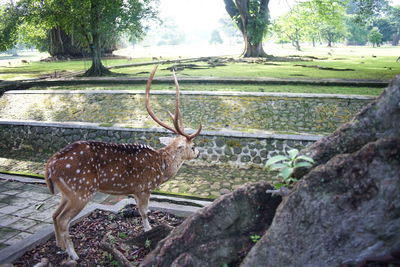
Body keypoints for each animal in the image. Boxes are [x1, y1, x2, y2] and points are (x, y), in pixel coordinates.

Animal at [45, 66, 202, 260]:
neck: (161, 167)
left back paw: (59, 246)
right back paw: (73, 255)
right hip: (80, 191)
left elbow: (139, 210)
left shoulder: (133, 190)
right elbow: (145, 211)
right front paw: (148, 230)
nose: (199, 152)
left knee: (54, 214)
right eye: (193, 146)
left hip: (66, 193)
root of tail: (49, 166)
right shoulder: (143, 187)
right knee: (63, 219)